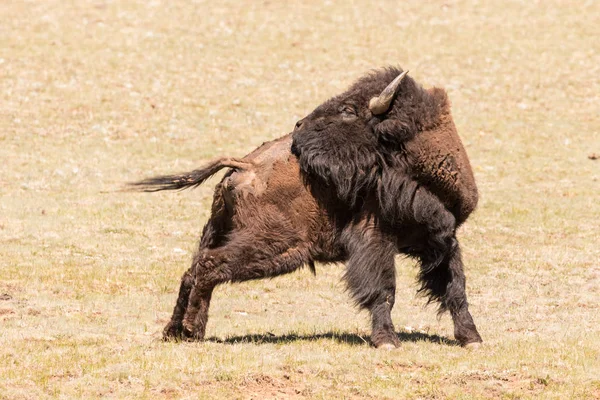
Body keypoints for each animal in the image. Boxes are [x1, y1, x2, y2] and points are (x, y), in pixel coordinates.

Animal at [132, 67, 482, 348]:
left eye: (347, 110)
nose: (299, 126)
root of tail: (246, 166)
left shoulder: (442, 239)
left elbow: (455, 289)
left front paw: (472, 338)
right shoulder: (376, 240)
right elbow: (384, 290)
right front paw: (387, 341)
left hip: (226, 232)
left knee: (191, 271)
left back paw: (176, 332)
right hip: (278, 245)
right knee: (207, 266)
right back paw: (193, 329)